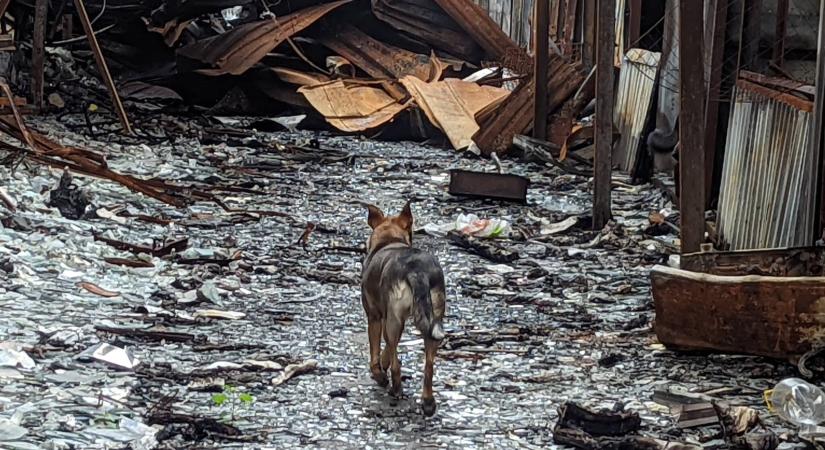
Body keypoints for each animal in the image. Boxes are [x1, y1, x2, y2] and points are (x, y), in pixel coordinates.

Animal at [360, 202, 448, 416]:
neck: (390, 240)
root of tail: (417, 270)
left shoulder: (375, 317)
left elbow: (376, 351)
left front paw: (378, 373)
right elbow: (386, 350)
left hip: (394, 319)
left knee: (396, 362)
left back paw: (395, 388)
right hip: (434, 318)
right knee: (428, 366)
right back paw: (428, 402)